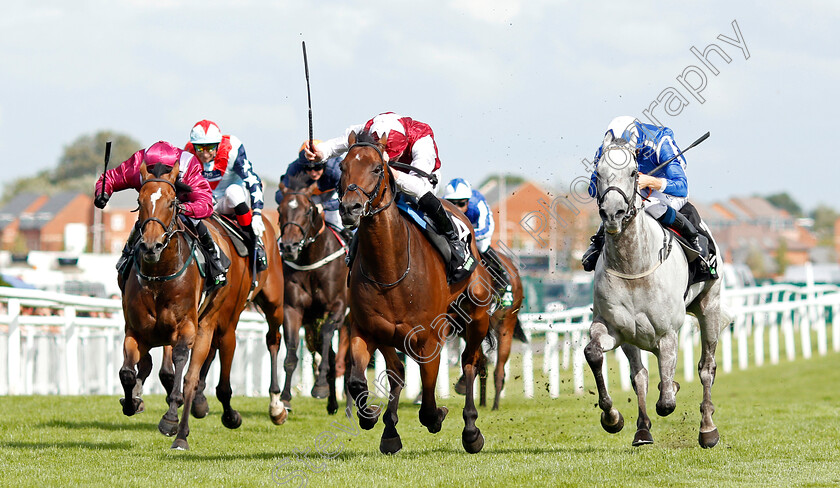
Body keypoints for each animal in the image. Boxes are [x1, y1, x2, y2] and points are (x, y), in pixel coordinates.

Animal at [119, 161, 286, 450]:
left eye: (172, 202)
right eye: (140, 202)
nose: (151, 245)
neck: (159, 276)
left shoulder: (187, 328)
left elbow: (181, 374)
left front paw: (171, 419)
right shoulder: (136, 331)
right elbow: (129, 372)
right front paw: (132, 402)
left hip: (258, 308)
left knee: (268, 342)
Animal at [278, 175, 350, 420]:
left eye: (308, 210)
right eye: (280, 209)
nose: (288, 247)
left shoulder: (338, 308)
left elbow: (328, 335)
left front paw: (319, 387)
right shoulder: (294, 310)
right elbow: (291, 353)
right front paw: (285, 399)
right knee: (331, 355)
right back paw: (333, 403)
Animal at [336, 132, 492, 456]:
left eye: (377, 169)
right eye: (342, 167)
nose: (350, 208)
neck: (390, 268)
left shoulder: (429, 339)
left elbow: (429, 402)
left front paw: (439, 416)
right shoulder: (365, 329)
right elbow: (357, 381)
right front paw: (370, 416)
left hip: (477, 317)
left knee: (469, 363)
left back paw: (471, 431)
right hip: (389, 335)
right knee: (396, 371)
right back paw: (389, 431)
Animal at [588, 132, 732, 448]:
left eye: (633, 172)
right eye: (598, 173)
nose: (613, 214)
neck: (633, 267)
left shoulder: (667, 335)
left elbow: (666, 400)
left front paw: (673, 389)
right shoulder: (613, 329)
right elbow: (595, 354)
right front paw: (612, 418)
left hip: (710, 307)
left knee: (707, 368)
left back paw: (708, 429)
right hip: (632, 338)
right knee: (639, 375)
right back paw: (642, 430)